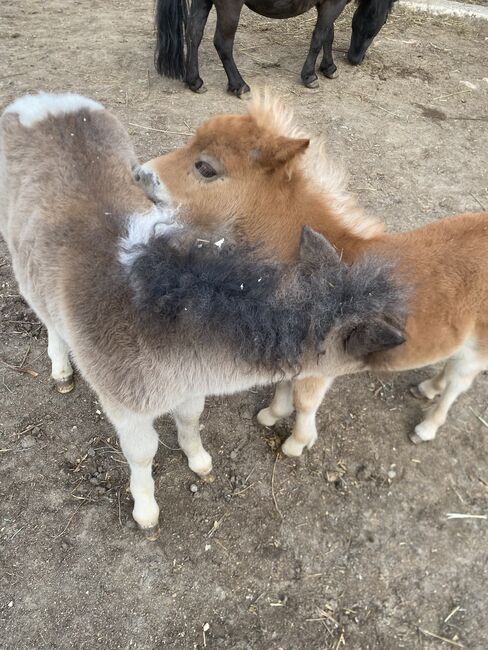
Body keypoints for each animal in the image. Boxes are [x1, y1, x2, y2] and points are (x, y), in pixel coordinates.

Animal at [156, 0, 396, 95]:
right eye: (384, 21)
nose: (355, 59)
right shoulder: (331, 5)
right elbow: (318, 39)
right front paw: (310, 76)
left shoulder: (326, 6)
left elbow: (328, 36)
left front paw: (328, 68)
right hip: (230, 8)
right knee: (222, 44)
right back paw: (239, 86)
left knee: (193, 36)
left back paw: (195, 81)